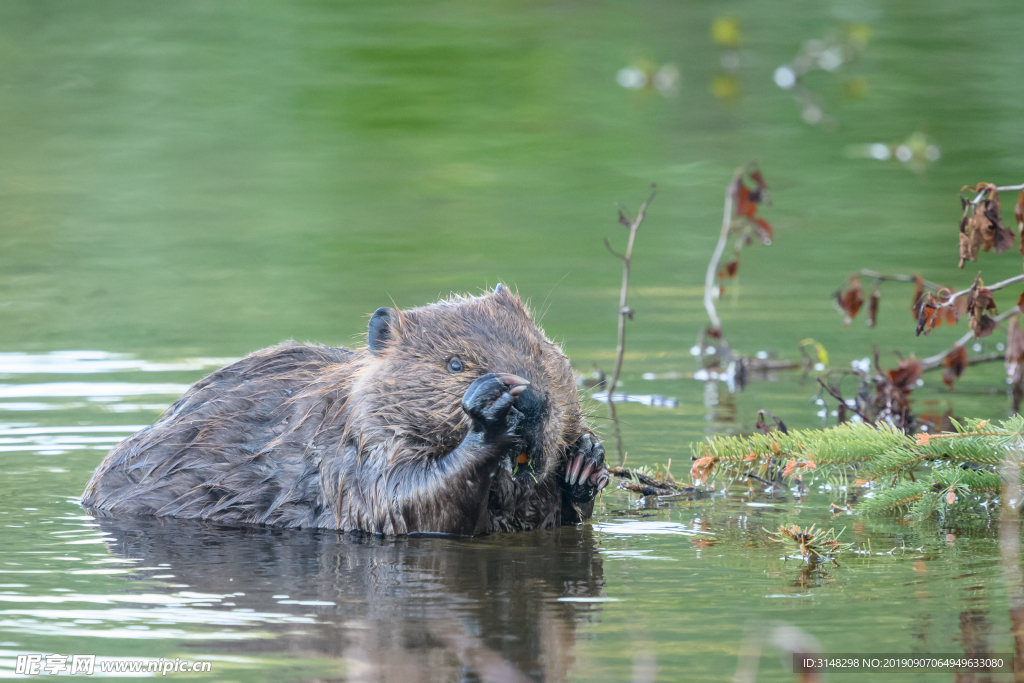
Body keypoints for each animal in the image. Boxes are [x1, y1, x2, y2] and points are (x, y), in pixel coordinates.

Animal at [81, 286, 606, 536]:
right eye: (455, 363)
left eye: (538, 350)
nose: (531, 399)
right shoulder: (355, 452)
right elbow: (406, 504)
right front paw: (492, 416)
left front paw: (585, 461)